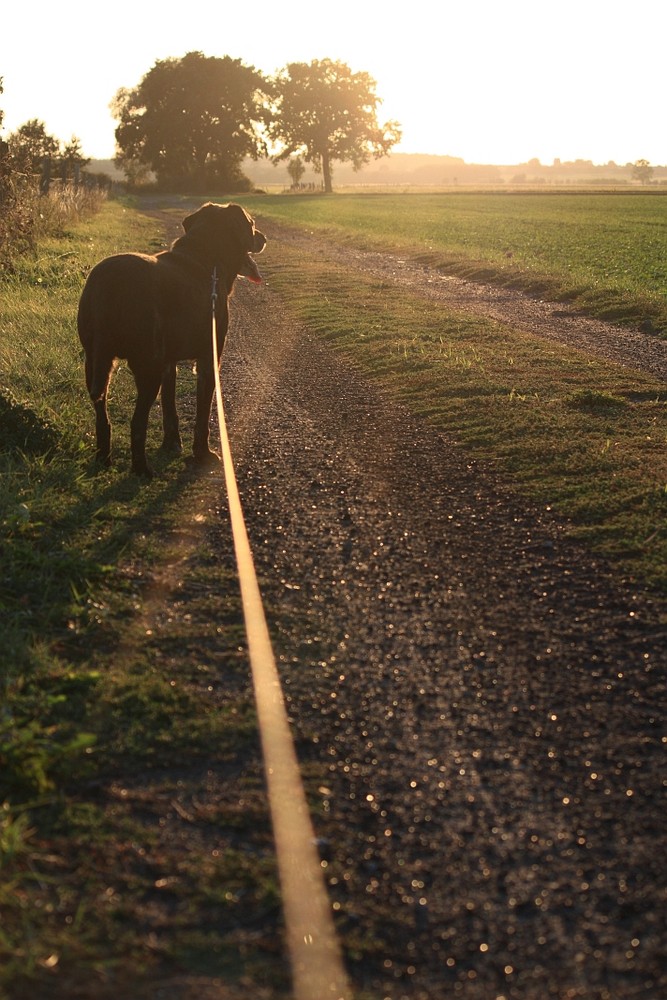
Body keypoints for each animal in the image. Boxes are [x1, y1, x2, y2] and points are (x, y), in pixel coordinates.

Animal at [77, 202, 266, 476]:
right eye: (251, 223)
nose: (263, 238)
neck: (206, 258)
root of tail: (109, 286)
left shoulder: (167, 362)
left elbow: (169, 407)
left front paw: (171, 444)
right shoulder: (208, 359)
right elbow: (202, 414)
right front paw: (202, 454)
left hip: (95, 363)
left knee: (102, 415)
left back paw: (104, 458)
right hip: (146, 367)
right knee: (137, 423)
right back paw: (142, 470)